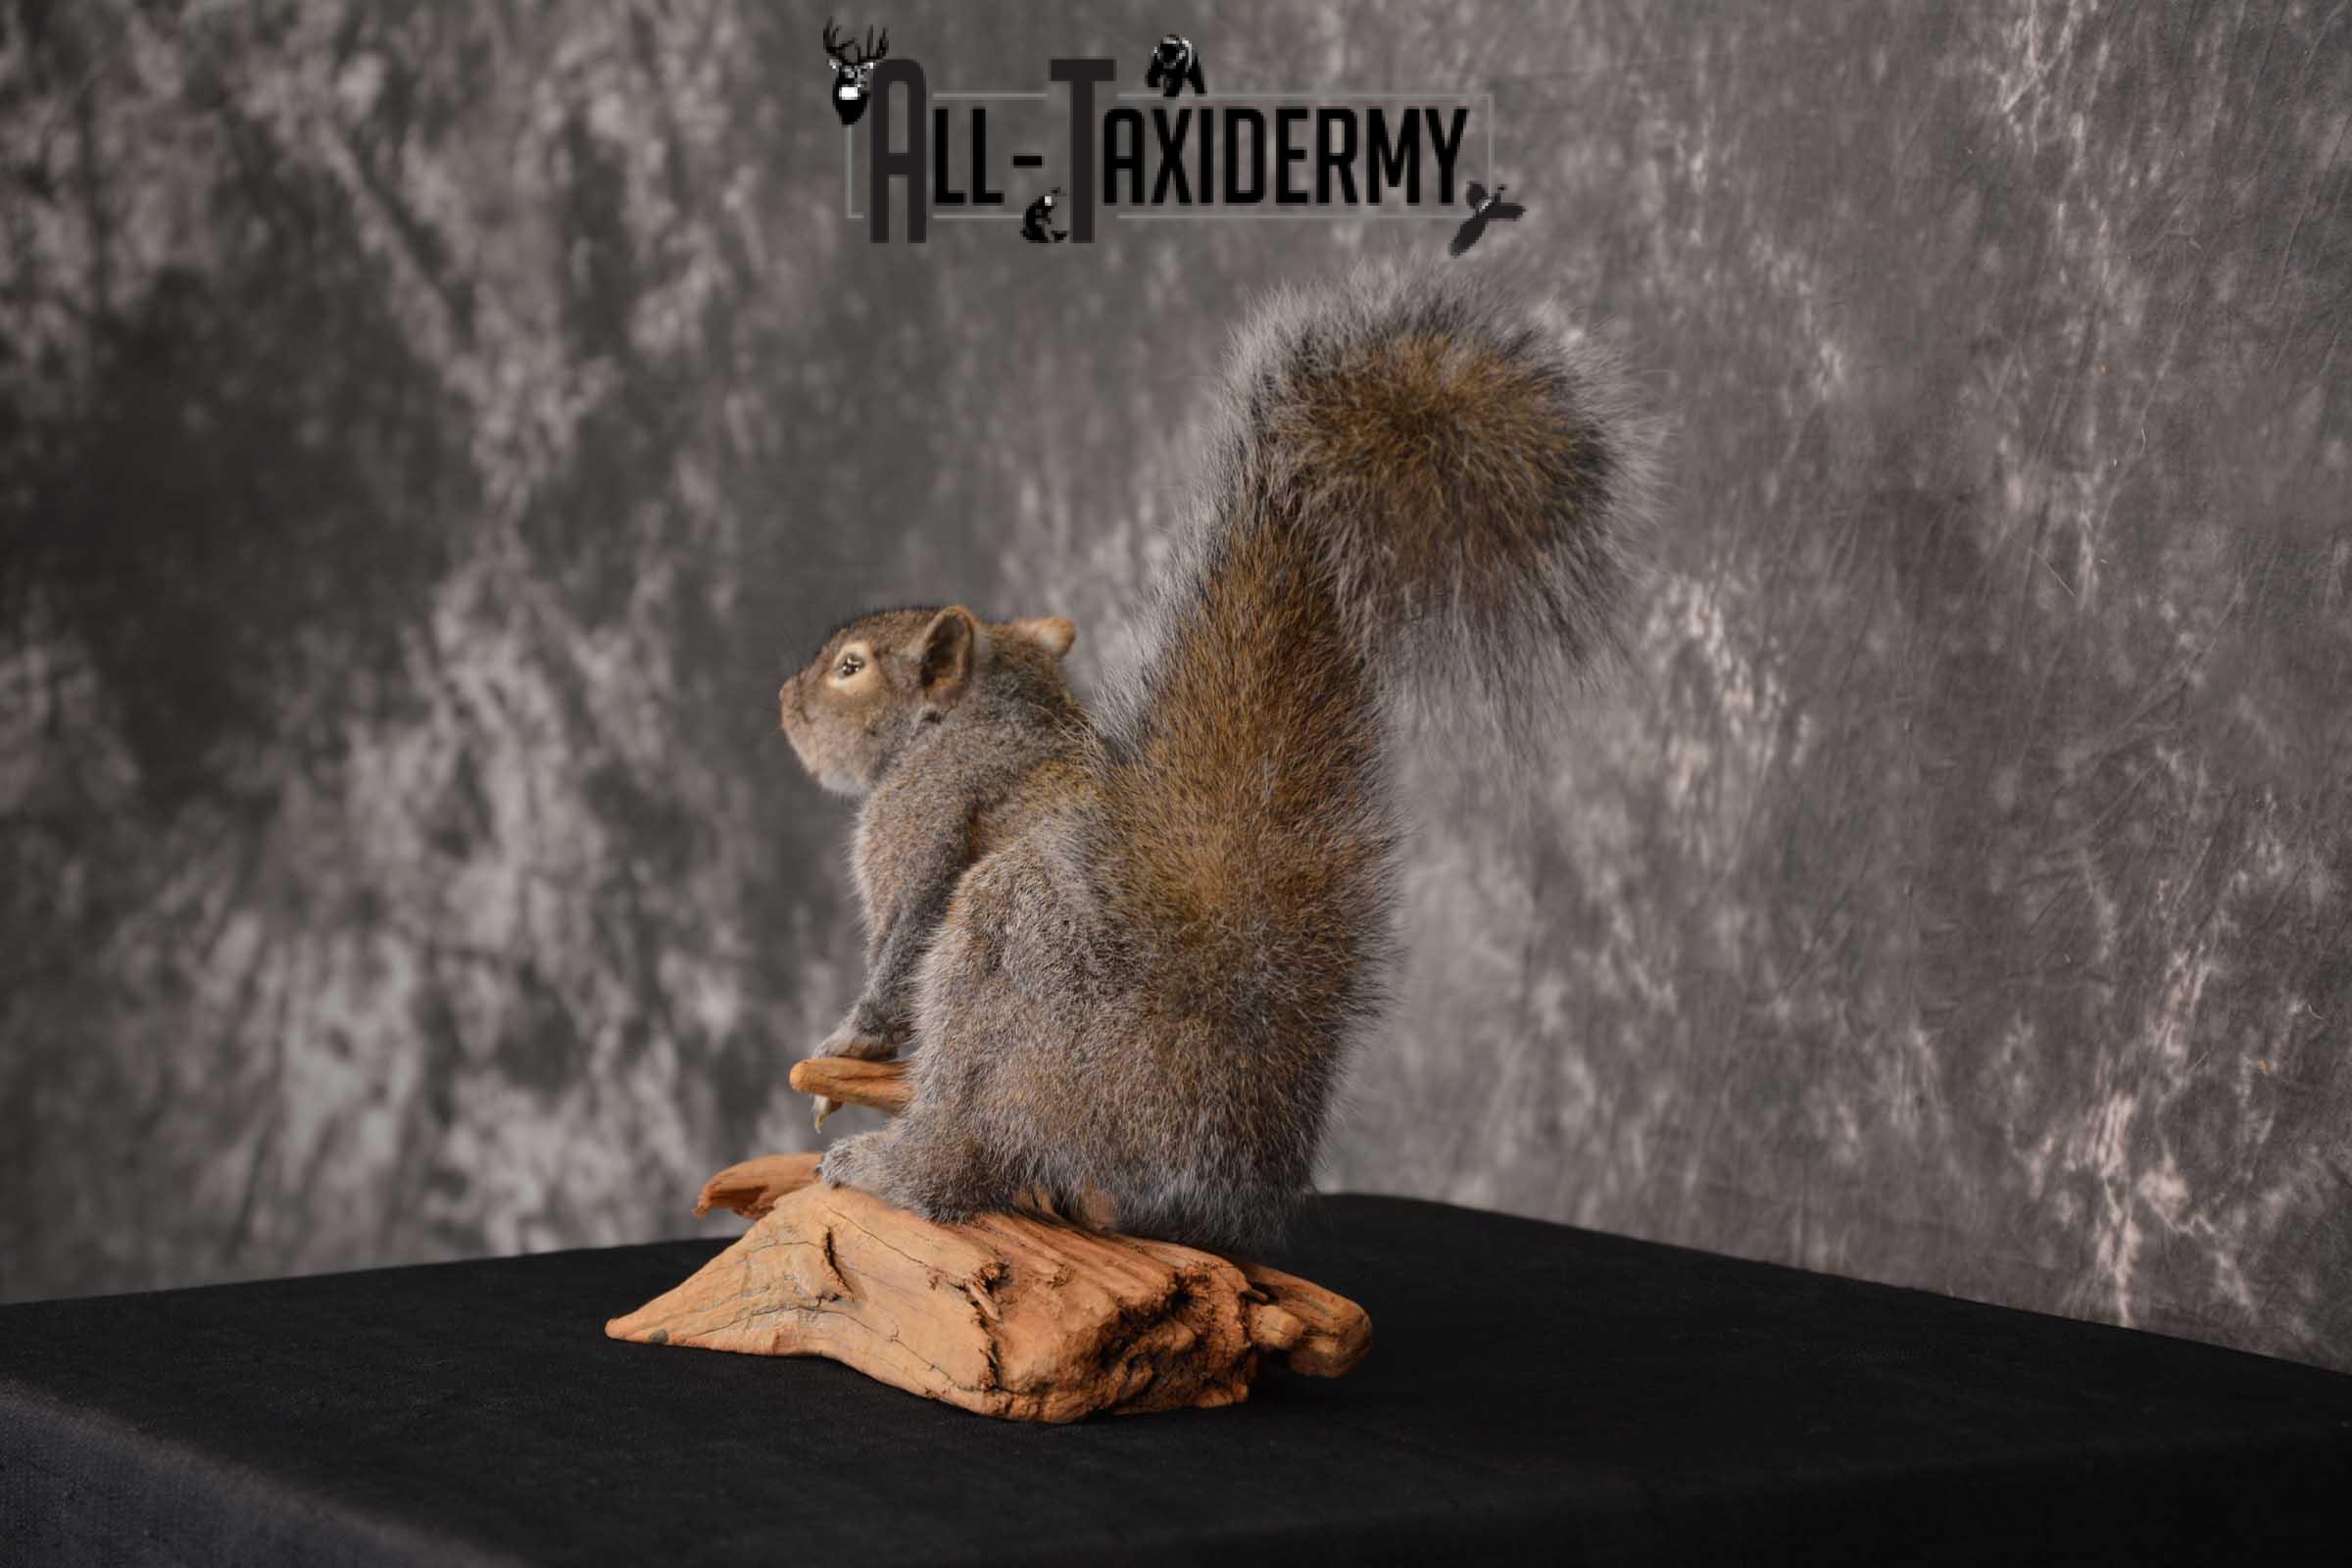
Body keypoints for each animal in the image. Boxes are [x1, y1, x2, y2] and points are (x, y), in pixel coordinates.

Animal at [776, 264, 1655, 1254]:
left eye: (851, 668)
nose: (783, 703)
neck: (984, 713)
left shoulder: (922, 821)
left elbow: (899, 951)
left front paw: (844, 1048)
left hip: (1010, 965)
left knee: (969, 1150)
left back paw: (893, 1166)